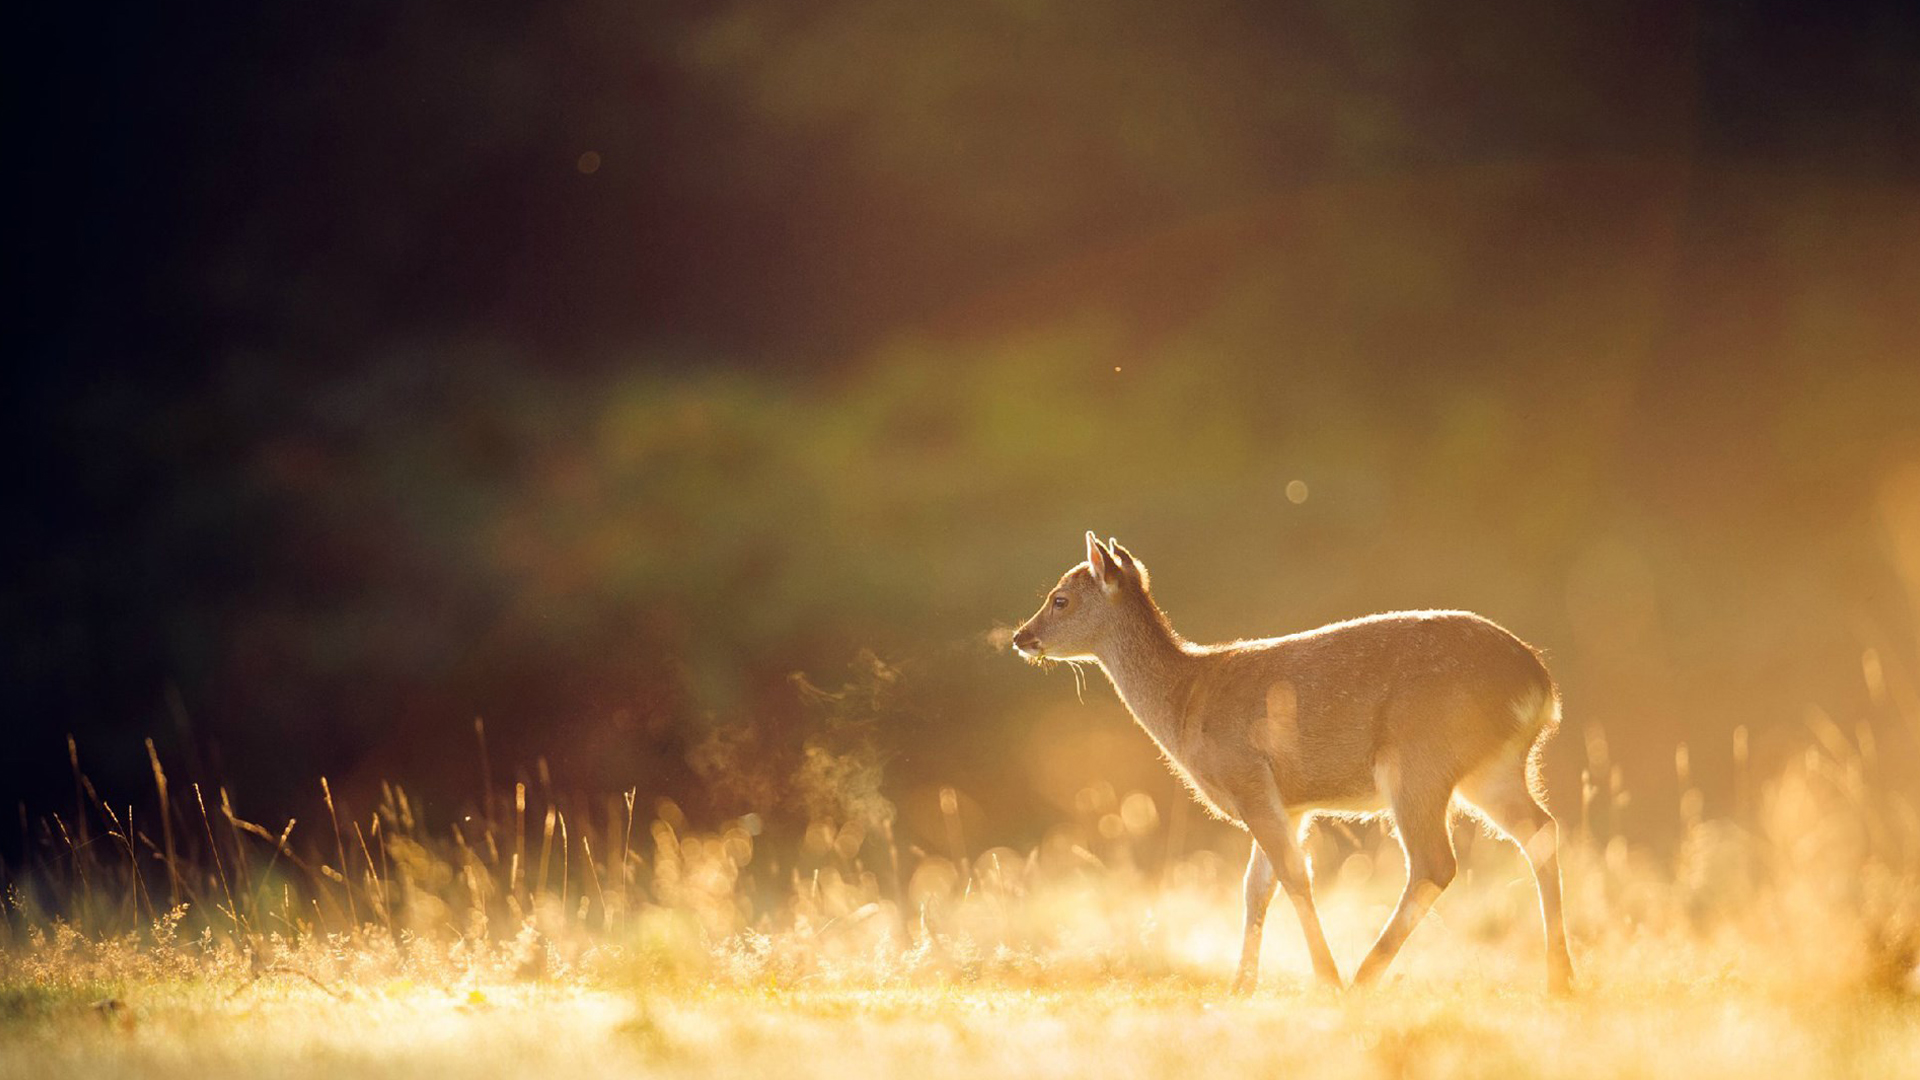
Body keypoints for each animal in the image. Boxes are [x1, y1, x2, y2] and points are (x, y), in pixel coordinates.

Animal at [1006, 530, 1574, 991]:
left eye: (1060, 599)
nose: (1020, 637)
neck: (1187, 702)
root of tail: (1542, 688)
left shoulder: (1247, 775)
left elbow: (1293, 874)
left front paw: (1323, 979)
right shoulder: (1292, 802)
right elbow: (1256, 888)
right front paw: (1241, 987)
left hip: (1419, 759)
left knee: (1436, 861)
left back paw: (1362, 977)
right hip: (1492, 768)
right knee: (1541, 830)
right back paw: (1560, 977)